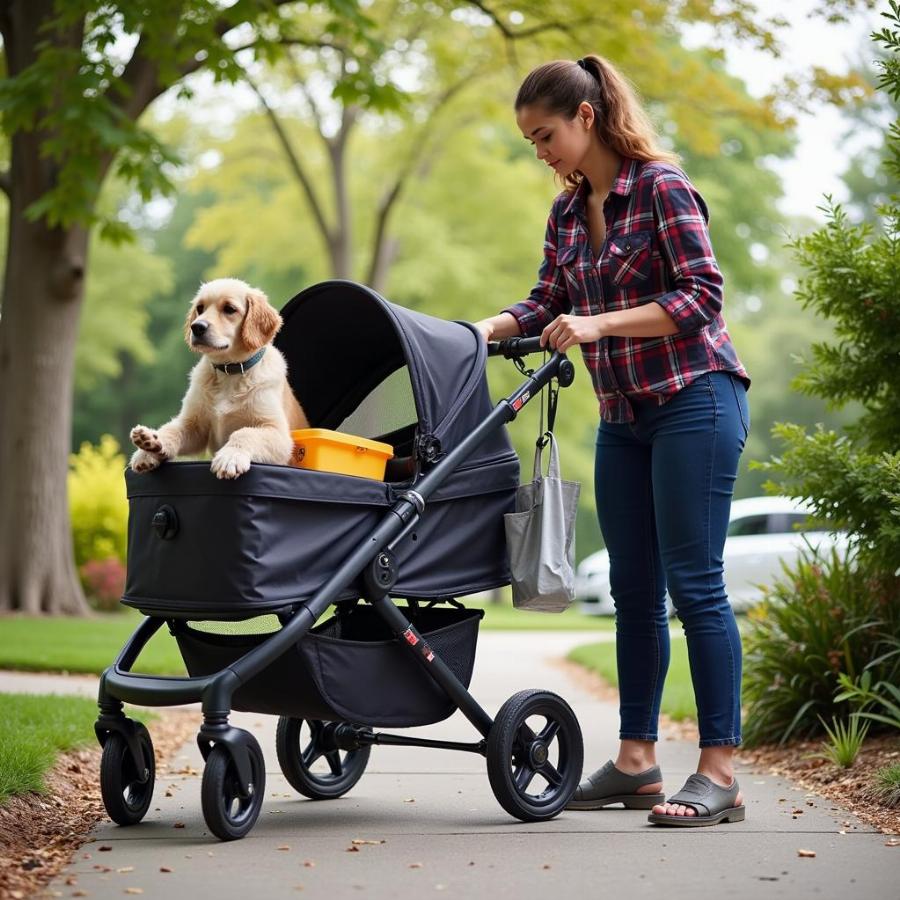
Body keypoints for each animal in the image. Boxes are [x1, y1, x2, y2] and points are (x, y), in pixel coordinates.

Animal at [128, 280, 308, 478]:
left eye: (229, 309)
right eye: (200, 308)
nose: (197, 327)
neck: (230, 372)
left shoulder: (278, 434)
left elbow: (245, 433)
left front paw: (230, 456)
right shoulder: (194, 427)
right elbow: (173, 429)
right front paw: (150, 445)